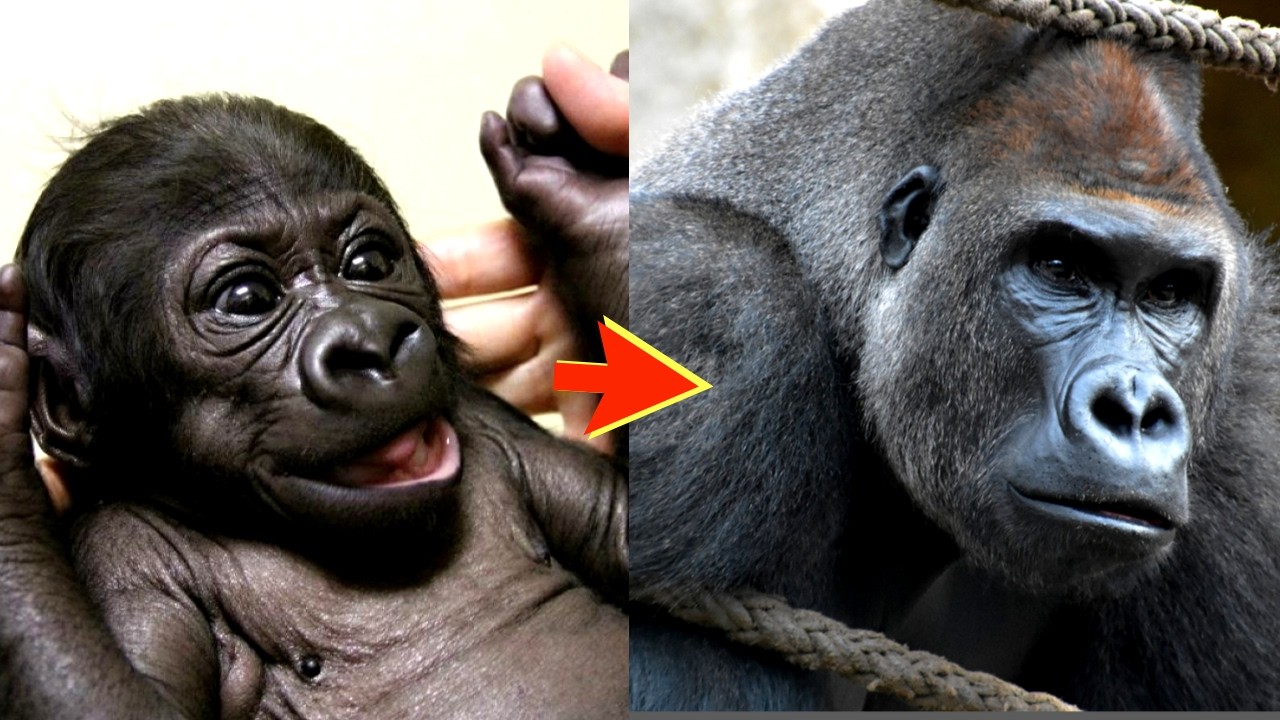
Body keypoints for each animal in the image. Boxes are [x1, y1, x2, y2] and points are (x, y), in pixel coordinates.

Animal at [0, 91, 627, 719]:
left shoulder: (493, 423)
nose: (372, 341)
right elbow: (125, 703)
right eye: (247, 298)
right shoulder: (122, 550)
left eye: (369, 265)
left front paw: (584, 208)